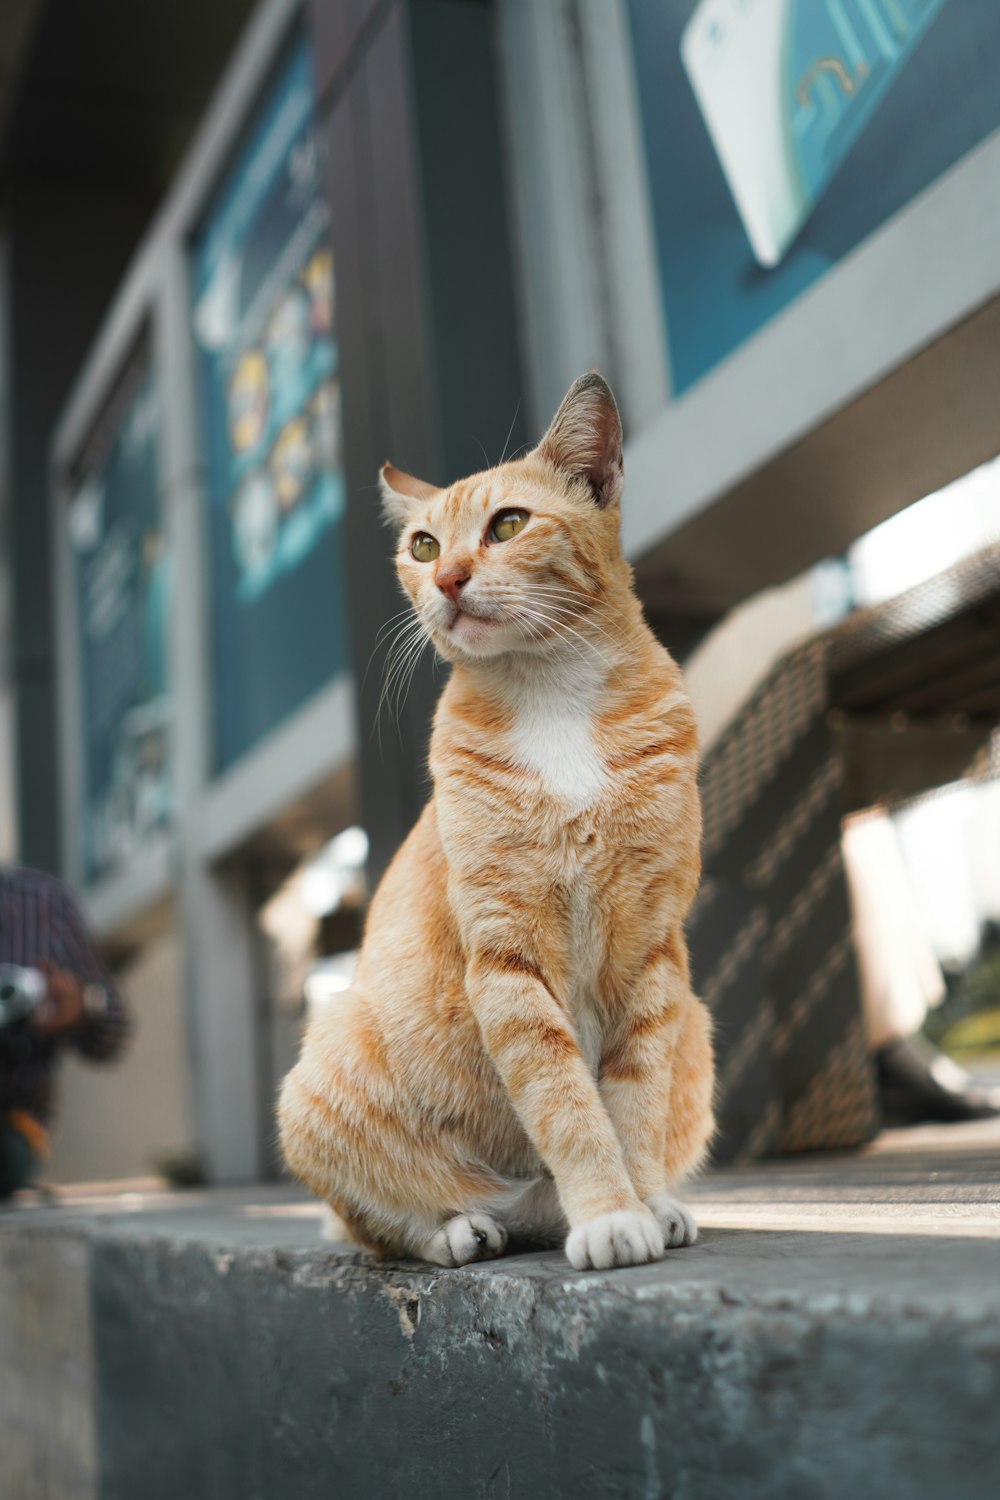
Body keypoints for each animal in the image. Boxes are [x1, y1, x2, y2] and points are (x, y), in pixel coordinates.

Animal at [277, 372, 716, 1266]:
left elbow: (633, 1099)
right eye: (421, 546)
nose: (447, 579)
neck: (554, 697)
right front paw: (609, 1213)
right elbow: (567, 1104)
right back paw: (460, 1229)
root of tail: (530, 1213)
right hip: (320, 1073)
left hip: (699, 1024)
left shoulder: (653, 950)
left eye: (508, 525)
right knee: (371, 1223)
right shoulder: (507, 956)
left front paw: (641, 1201)